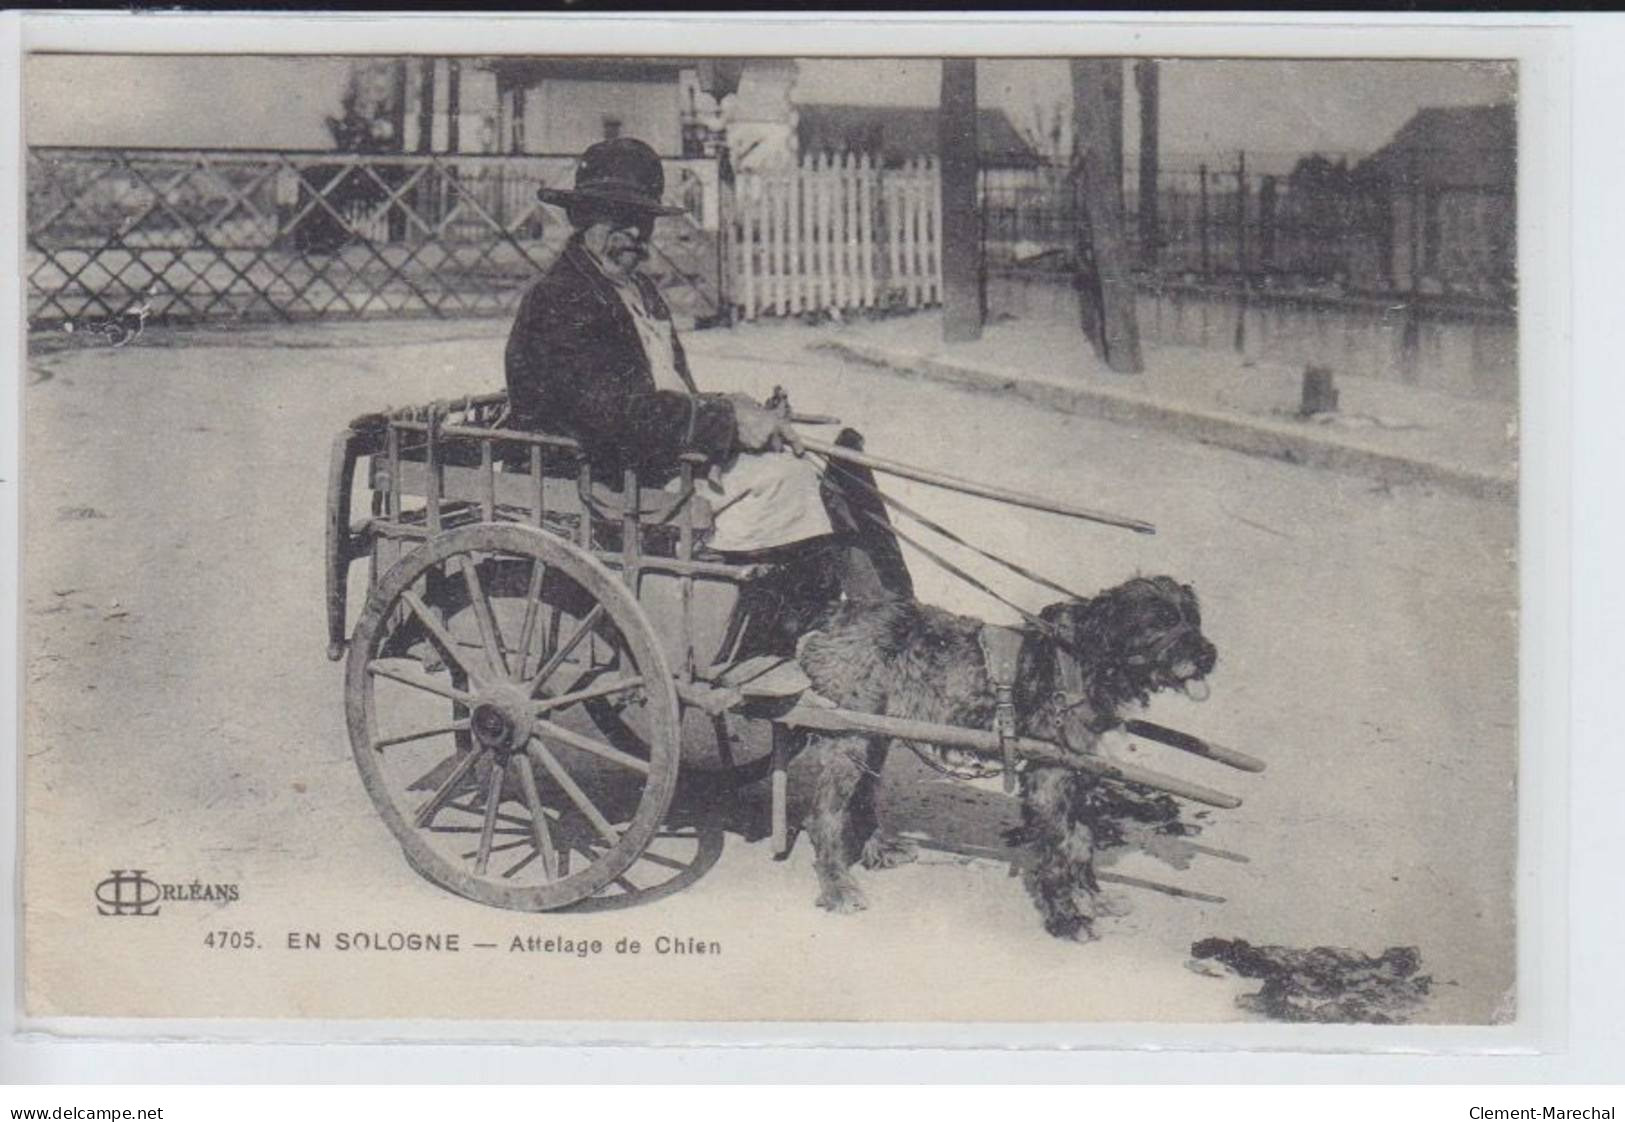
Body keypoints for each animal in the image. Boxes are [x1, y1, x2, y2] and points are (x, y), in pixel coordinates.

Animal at [793, 575, 1215, 936]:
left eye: (1192, 618)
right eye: (1161, 621)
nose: (1209, 656)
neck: (1083, 658)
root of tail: (836, 613)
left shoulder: (1075, 770)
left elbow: (1081, 841)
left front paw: (1092, 898)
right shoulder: (1049, 775)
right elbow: (1059, 850)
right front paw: (1066, 917)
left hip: (877, 732)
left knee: (862, 794)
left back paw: (879, 849)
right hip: (850, 733)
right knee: (824, 814)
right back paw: (837, 885)